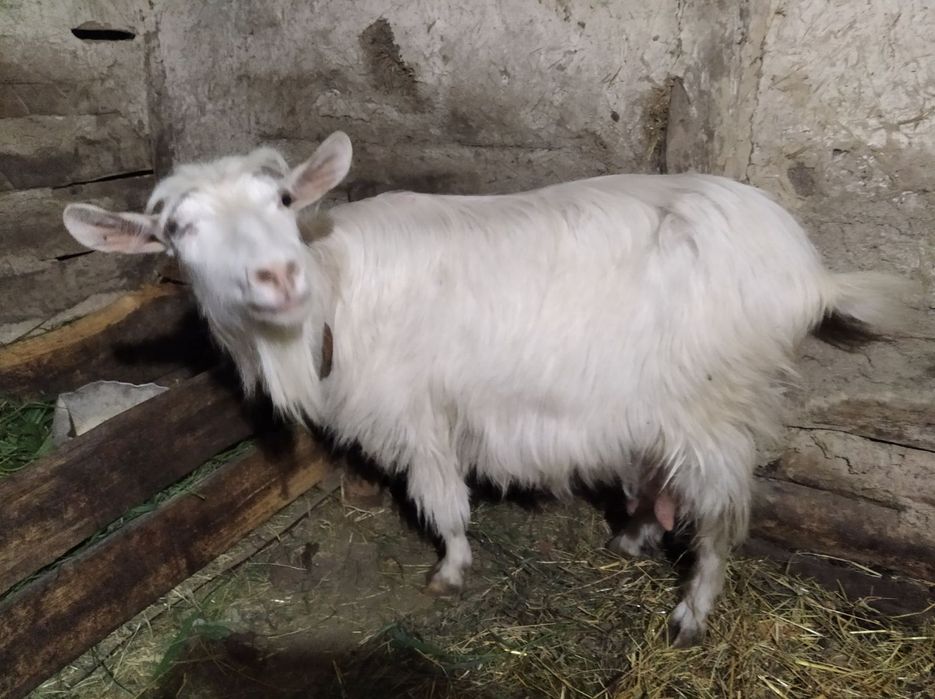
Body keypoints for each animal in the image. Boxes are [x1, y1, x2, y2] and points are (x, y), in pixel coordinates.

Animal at [62, 132, 912, 646]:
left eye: (282, 202)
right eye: (178, 230)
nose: (277, 276)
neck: (334, 291)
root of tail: (811, 274)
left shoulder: (417, 411)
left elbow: (441, 497)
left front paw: (449, 569)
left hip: (716, 406)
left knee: (721, 517)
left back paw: (691, 612)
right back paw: (632, 535)